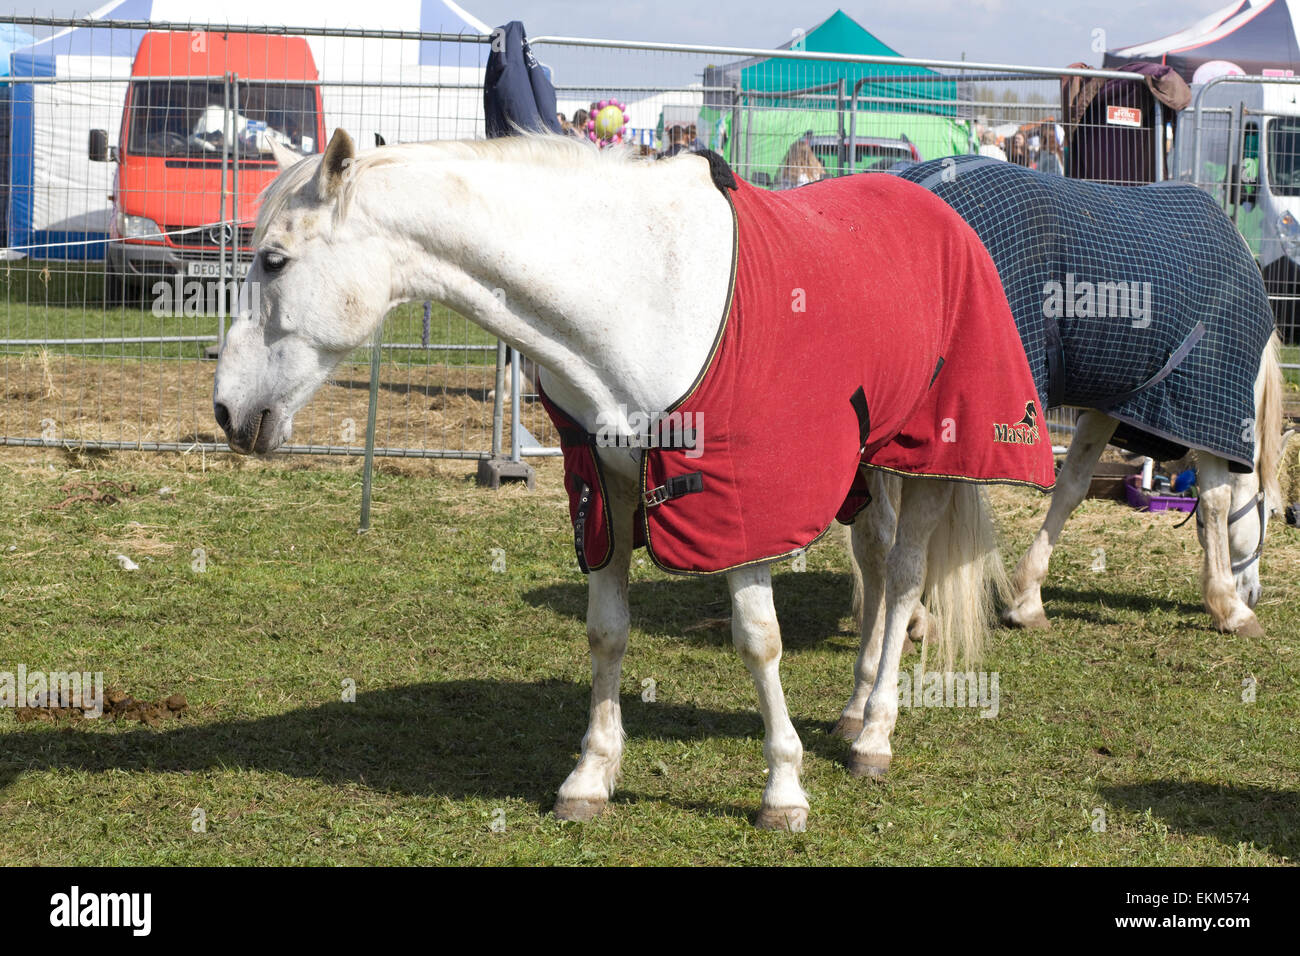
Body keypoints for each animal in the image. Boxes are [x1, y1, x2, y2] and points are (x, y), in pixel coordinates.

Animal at [213, 130, 1003, 832]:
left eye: (274, 261)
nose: (226, 410)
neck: (636, 292)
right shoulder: (604, 492)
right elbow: (607, 632)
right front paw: (591, 776)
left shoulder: (736, 507)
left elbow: (758, 640)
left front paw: (783, 790)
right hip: (870, 464)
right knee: (874, 562)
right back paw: (855, 706)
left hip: (931, 462)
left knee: (903, 578)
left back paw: (876, 733)